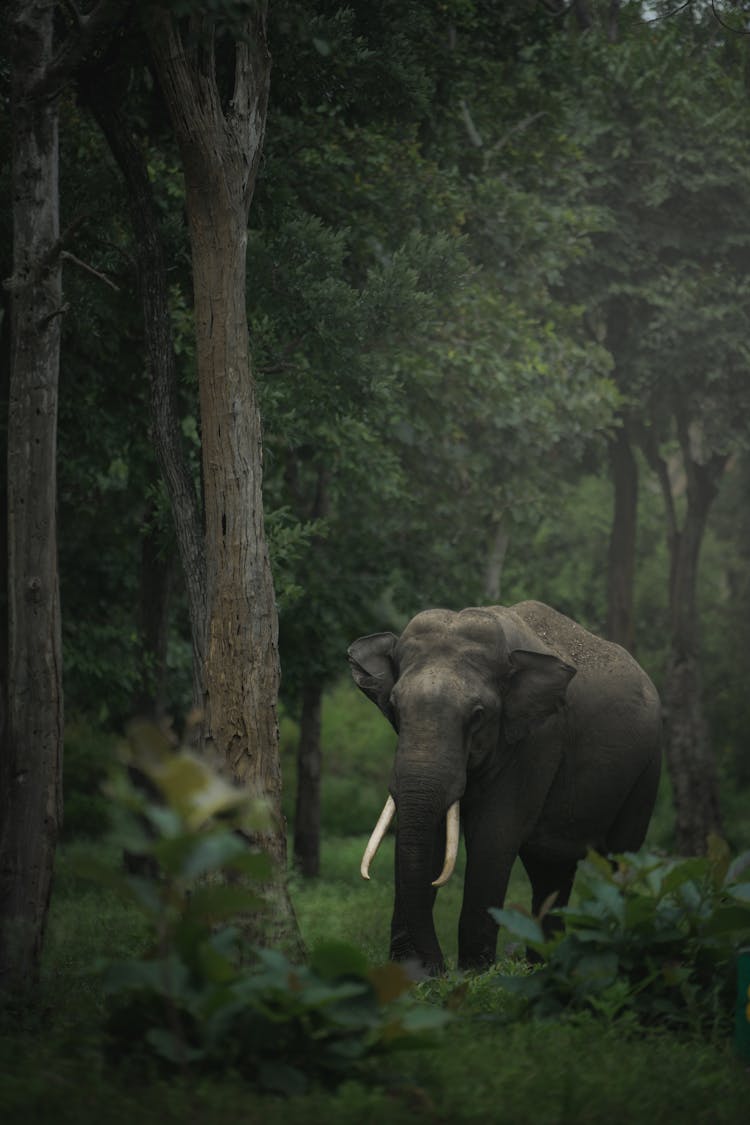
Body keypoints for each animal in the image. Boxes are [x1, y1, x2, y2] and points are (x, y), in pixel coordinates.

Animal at [348, 598, 661, 976]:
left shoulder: (536, 740)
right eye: (394, 708)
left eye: (478, 715)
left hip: (647, 771)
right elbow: (432, 838)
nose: (438, 967)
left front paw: (473, 974)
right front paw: (412, 975)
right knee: (551, 872)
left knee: (620, 858)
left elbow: (493, 837)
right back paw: (545, 967)